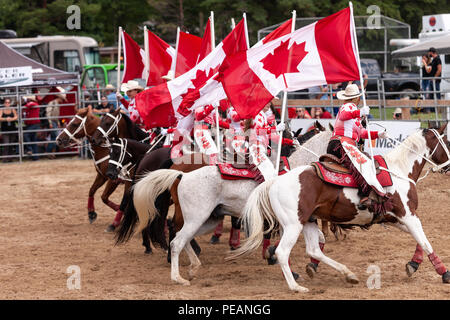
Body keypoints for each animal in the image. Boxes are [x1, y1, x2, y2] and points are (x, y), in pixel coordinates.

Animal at [126, 127, 330, 284]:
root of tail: (182, 174)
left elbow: (317, 240)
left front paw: (308, 266)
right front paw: (281, 261)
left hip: (205, 218)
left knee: (177, 232)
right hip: (195, 217)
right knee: (176, 236)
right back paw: (177, 274)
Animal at [232, 123, 450, 292]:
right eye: (447, 142)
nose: (448, 166)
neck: (399, 171)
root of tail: (274, 182)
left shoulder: (397, 218)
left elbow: (420, 240)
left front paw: (413, 264)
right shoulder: (408, 215)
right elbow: (425, 241)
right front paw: (444, 272)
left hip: (308, 221)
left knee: (314, 250)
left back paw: (347, 273)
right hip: (293, 225)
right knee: (283, 252)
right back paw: (296, 286)